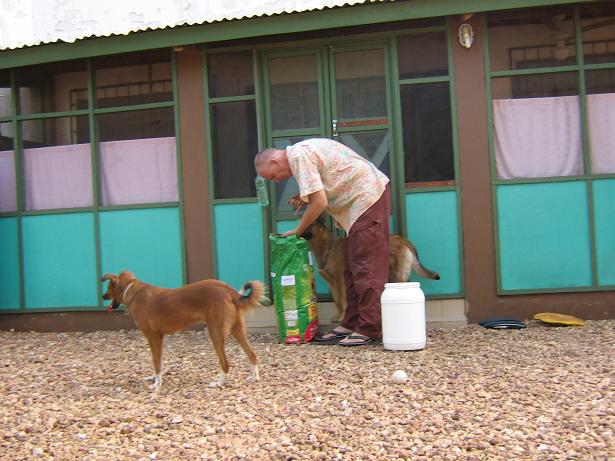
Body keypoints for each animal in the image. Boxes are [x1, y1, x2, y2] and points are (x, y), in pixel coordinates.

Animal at [101, 270, 264, 388]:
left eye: (108, 287)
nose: (102, 296)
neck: (131, 291)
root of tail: (229, 290)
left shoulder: (153, 337)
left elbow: (156, 363)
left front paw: (156, 384)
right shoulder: (159, 338)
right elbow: (159, 362)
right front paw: (156, 379)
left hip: (216, 332)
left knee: (225, 363)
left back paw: (218, 383)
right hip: (238, 330)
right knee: (252, 354)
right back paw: (253, 377)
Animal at [302, 217, 438, 320]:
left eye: (310, 224)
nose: (298, 232)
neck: (327, 247)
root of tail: (404, 240)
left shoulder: (340, 281)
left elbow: (341, 300)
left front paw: (342, 317)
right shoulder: (332, 283)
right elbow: (337, 302)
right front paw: (338, 316)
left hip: (396, 276)